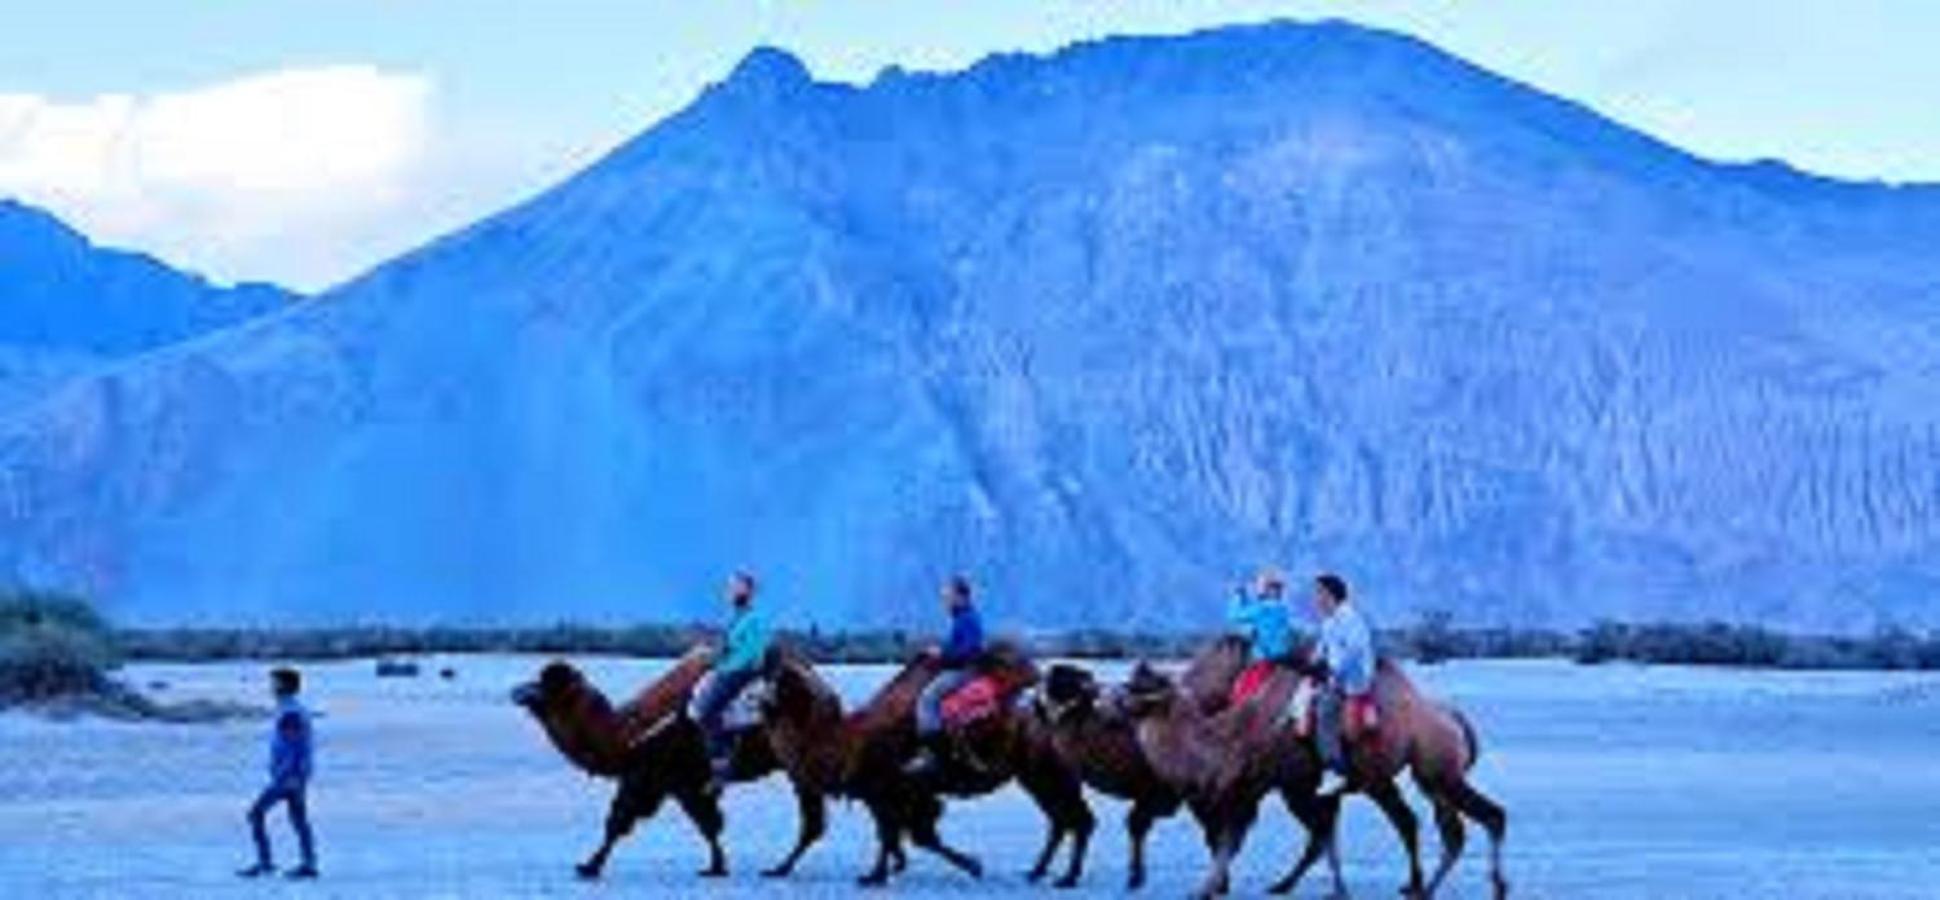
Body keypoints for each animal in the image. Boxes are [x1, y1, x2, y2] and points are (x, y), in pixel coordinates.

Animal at [508, 651, 834, 880]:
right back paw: (781, 867)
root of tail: (825, 692)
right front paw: (716, 867)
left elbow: (619, 821)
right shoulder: (676, 783)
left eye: (547, 685)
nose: (517, 691)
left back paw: (780, 868)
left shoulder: (653, 774)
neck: (629, 733)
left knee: (812, 820)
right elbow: (708, 825)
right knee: (813, 819)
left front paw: (590, 867)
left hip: (800, 761)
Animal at [756, 643, 1094, 888]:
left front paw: (878, 875)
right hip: (1036, 776)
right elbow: (905, 835)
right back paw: (1039, 871)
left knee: (1078, 819)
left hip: (1047, 770)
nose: (771, 651)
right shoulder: (885, 795)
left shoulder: (895, 790)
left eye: (780, 676)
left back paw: (1068, 877)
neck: (844, 742)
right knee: (1061, 819)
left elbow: (907, 834)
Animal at [1179, 636, 1513, 900]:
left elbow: (1309, 832)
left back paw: (1489, 886)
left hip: (1434, 773)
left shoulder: (1291, 783)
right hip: (1424, 778)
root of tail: (1456, 720)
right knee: (1440, 828)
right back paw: (1421, 886)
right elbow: (1320, 831)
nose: (1223, 886)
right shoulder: (1286, 786)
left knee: (1484, 817)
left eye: (1203, 807)